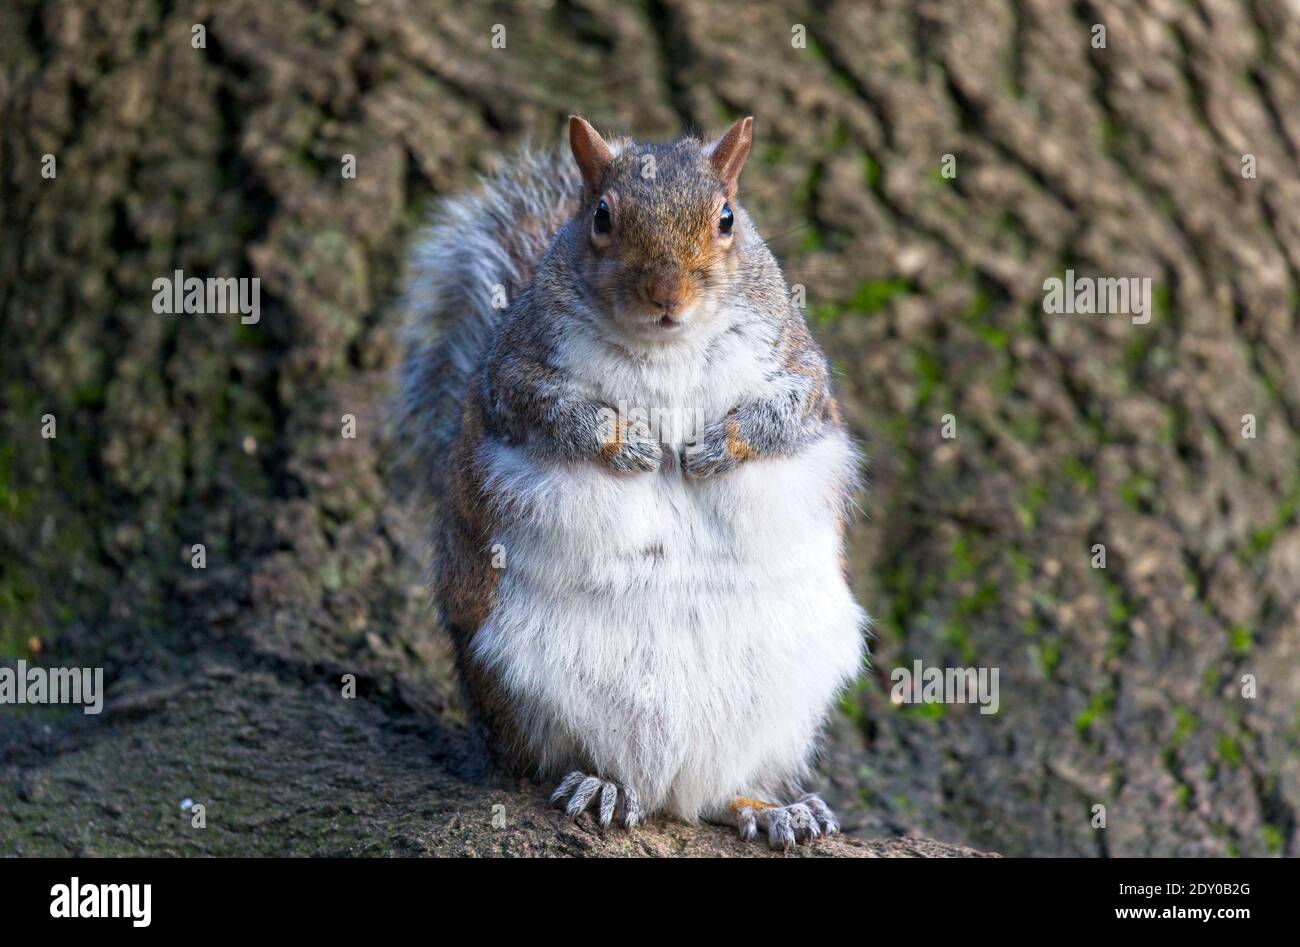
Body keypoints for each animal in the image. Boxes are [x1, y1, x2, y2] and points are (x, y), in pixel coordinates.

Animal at [396, 115, 867, 849]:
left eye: (727, 218)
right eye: (601, 216)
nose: (668, 295)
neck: (666, 346)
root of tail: (667, 790)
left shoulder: (797, 364)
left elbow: (783, 414)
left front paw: (713, 447)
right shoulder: (516, 369)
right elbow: (553, 412)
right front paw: (632, 444)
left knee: (719, 791)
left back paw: (769, 807)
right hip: (520, 681)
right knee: (546, 763)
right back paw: (603, 784)